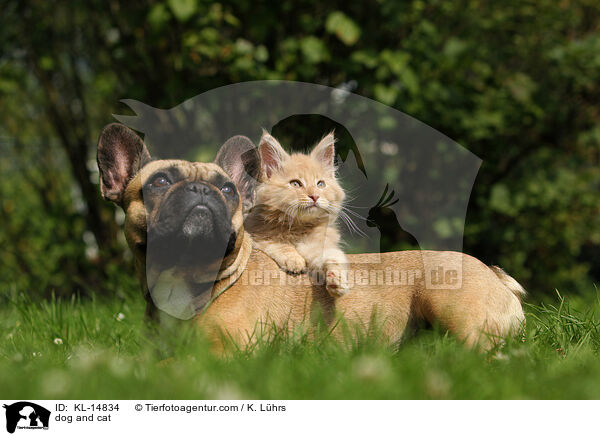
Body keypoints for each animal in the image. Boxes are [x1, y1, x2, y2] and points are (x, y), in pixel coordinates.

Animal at [245, 130, 352, 296]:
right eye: (295, 184)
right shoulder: (254, 234)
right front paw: (294, 259)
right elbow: (275, 242)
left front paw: (337, 280)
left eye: (320, 184)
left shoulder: (318, 246)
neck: (298, 227)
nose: (314, 196)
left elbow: (333, 257)